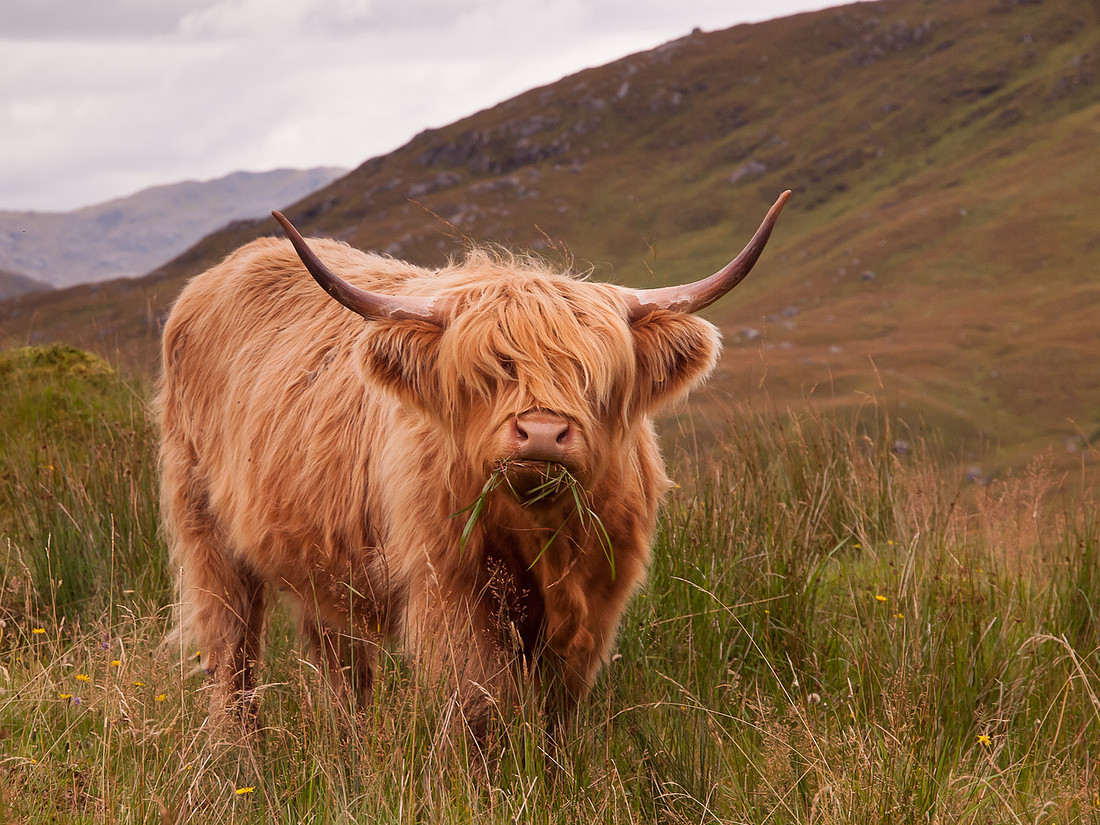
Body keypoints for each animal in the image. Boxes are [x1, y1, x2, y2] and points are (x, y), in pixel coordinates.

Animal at [155, 190, 789, 740]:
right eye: (488, 371)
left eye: (593, 373)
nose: (541, 433)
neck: (538, 533)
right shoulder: (452, 591)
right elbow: (481, 705)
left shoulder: (597, 600)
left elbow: (557, 708)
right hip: (207, 534)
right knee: (232, 657)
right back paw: (240, 757)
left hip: (324, 557)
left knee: (340, 665)